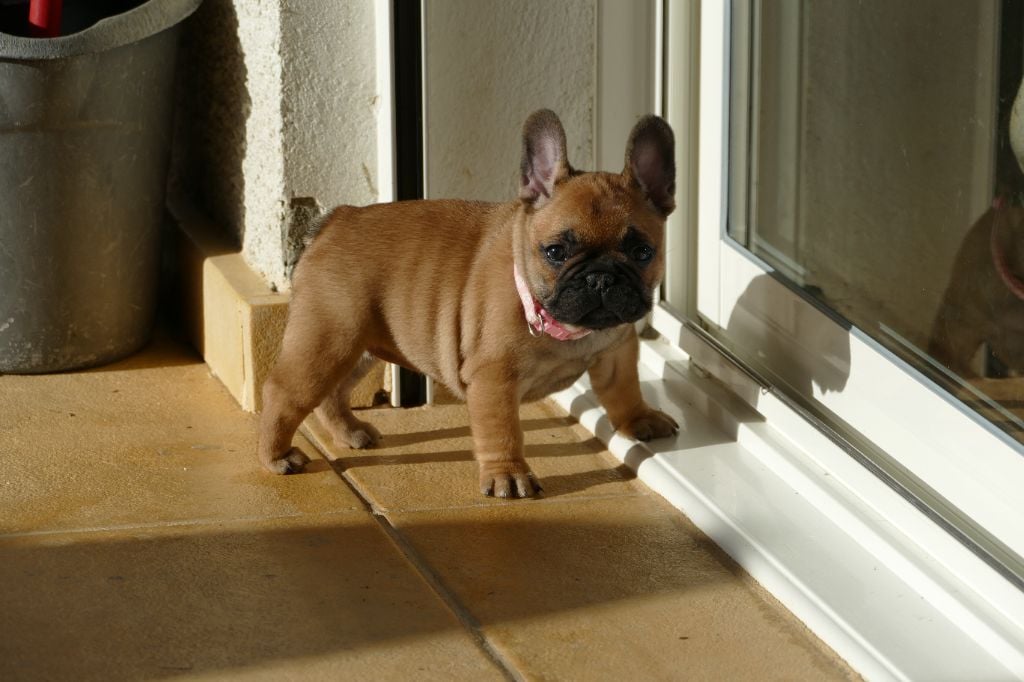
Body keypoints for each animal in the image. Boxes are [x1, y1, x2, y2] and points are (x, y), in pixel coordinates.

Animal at [258, 109, 679, 498]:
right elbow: (503, 431)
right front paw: (509, 475)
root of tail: (336, 220)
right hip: (327, 338)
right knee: (284, 391)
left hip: (358, 346)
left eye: (642, 252)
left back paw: (349, 431)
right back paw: (276, 456)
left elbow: (624, 389)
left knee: (332, 391)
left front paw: (639, 419)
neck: (568, 328)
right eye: (556, 252)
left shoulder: (617, 349)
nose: (601, 277)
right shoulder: (494, 379)